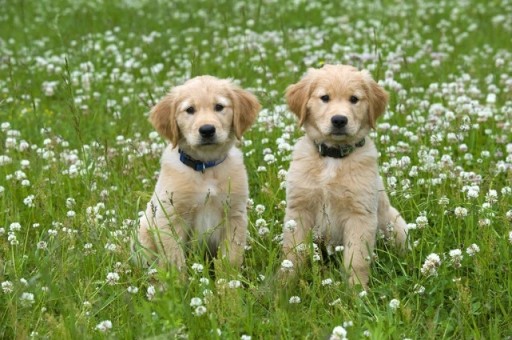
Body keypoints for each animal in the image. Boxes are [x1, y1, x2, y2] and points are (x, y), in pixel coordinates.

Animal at [134, 75, 260, 272]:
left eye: (219, 107)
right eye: (190, 110)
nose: (207, 130)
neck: (205, 167)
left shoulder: (234, 215)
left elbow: (230, 259)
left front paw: (229, 281)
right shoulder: (170, 217)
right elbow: (175, 261)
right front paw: (175, 281)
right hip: (144, 234)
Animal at [282, 63, 406, 286]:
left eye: (354, 99)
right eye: (325, 97)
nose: (339, 120)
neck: (333, 157)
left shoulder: (360, 215)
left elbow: (356, 260)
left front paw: (357, 291)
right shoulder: (299, 210)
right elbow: (292, 254)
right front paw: (283, 285)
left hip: (395, 224)